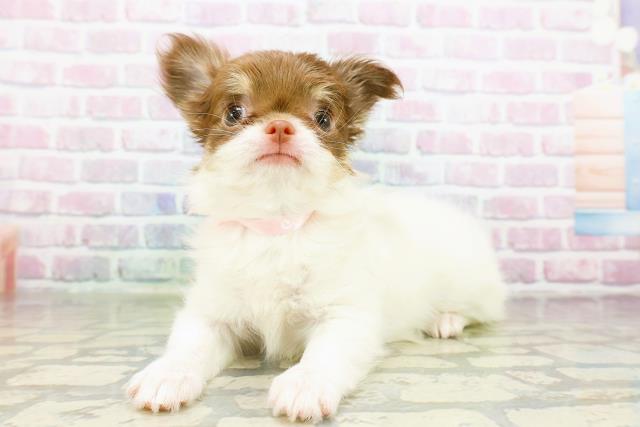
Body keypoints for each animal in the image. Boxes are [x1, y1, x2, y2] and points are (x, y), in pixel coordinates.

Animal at [126, 33, 506, 423]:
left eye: (323, 119)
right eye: (234, 113)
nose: (280, 125)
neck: (277, 226)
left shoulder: (345, 316)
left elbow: (324, 355)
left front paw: (304, 385)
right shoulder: (211, 315)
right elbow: (188, 347)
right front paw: (166, 374)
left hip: (470, 282)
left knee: (482, 309)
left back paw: (445, 320)